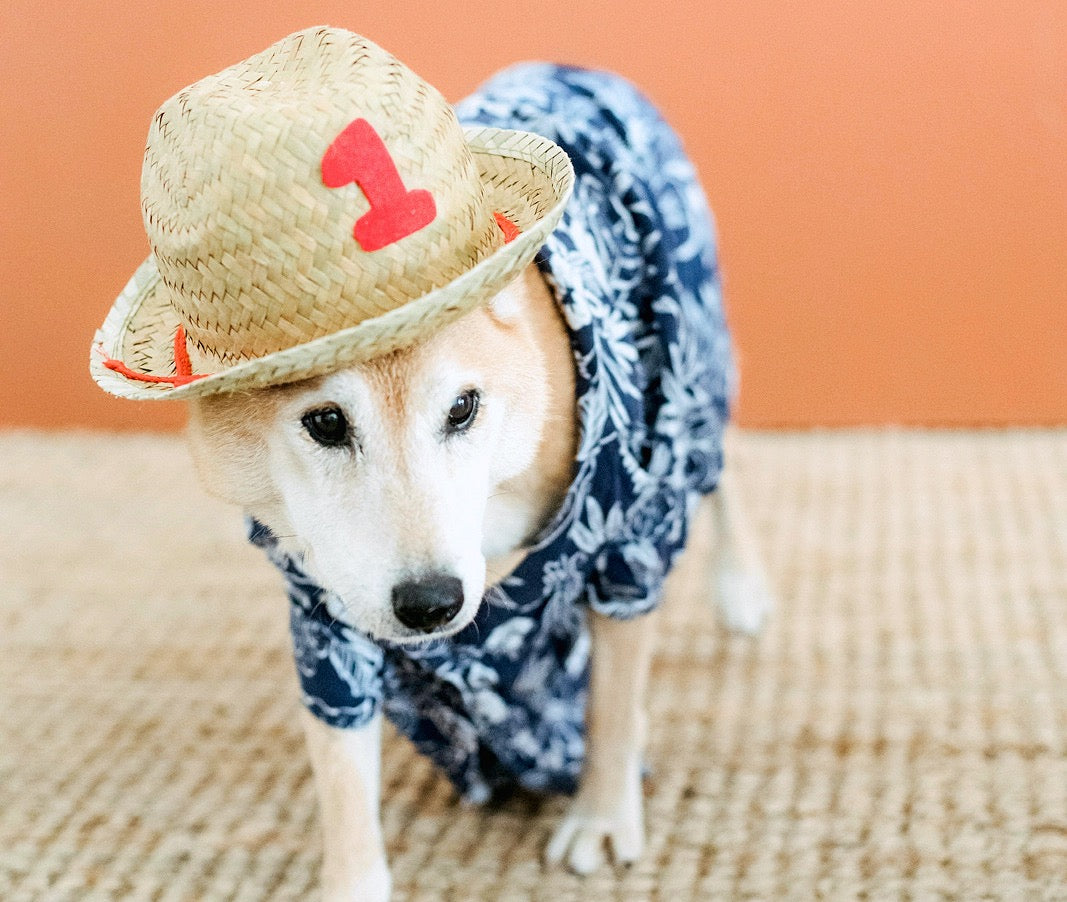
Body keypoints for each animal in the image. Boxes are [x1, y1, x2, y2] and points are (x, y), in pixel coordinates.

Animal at [89, 28, 776, 900]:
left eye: (462, 408)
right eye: (324, 423)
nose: (430, 603)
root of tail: (575, 67)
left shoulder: (623, 539)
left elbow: (614, 703)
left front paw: (601, 812)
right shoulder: (323, 609)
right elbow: (342, 777)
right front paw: (354, 879)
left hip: (689, 368)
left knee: (724, 468)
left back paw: (740, 587)